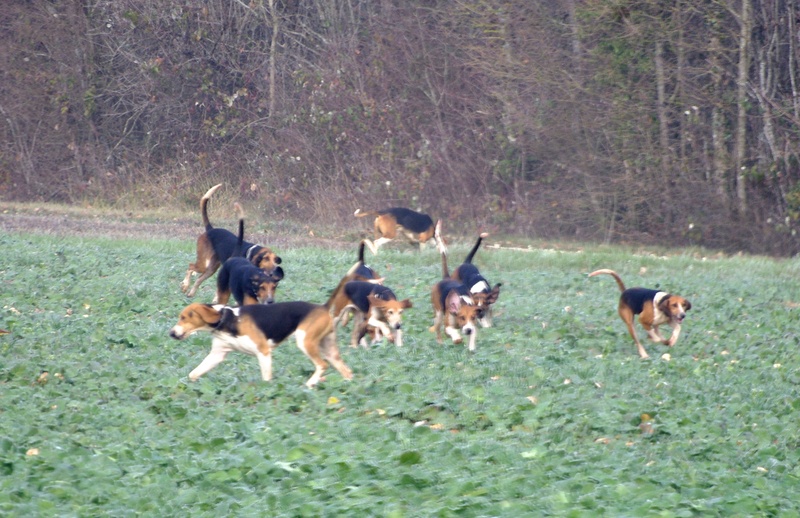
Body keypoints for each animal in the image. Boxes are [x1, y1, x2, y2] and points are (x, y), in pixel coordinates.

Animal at [170, 302, 354, 388]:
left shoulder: (263, 352)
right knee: (347, 371)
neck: (227, 319)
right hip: (329, 350)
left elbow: (266, 379)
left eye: (184, 317)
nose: (171, 333)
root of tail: (323, 307)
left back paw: (309, 385)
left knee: (322, 365)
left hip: (305, 342)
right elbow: (193, 373)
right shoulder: (217, 355)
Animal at [428, 221, 478, 352]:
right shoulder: (448, 327)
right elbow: (452, 332)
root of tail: (446, 278)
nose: (468, 330)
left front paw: (471, 348)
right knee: (437, 330)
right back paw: (440, 343)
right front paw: (457, 338)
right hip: (438, 314)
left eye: (473, 318)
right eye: (462, 317)